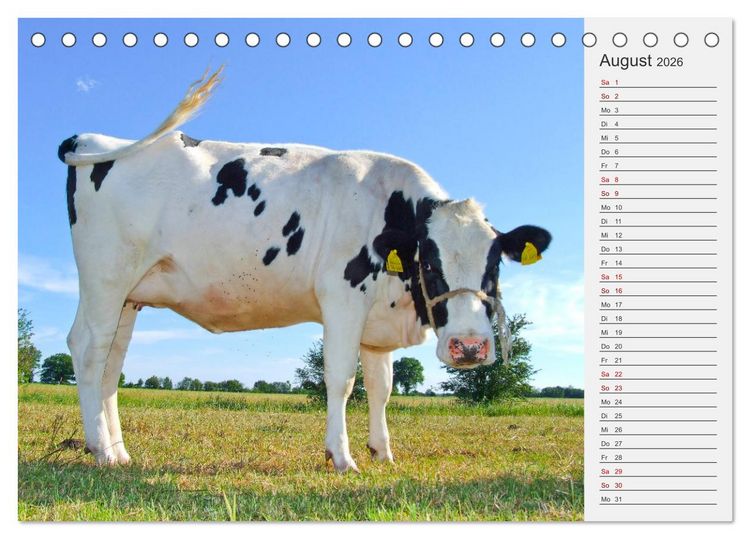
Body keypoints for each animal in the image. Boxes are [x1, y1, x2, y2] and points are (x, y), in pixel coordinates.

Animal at [59, 68, 551, 472]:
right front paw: (342, 456)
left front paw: (383, 451)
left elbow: (382, 386)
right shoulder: (343, 297)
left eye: (495, 264)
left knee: (111, 363)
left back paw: (118, 450)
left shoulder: (377, 320)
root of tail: (91, 139)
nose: (469, 347)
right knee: (88, 349)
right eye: (429, 261)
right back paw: (101, 450)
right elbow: (342, 379)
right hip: (106, 276)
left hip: (130, 295)